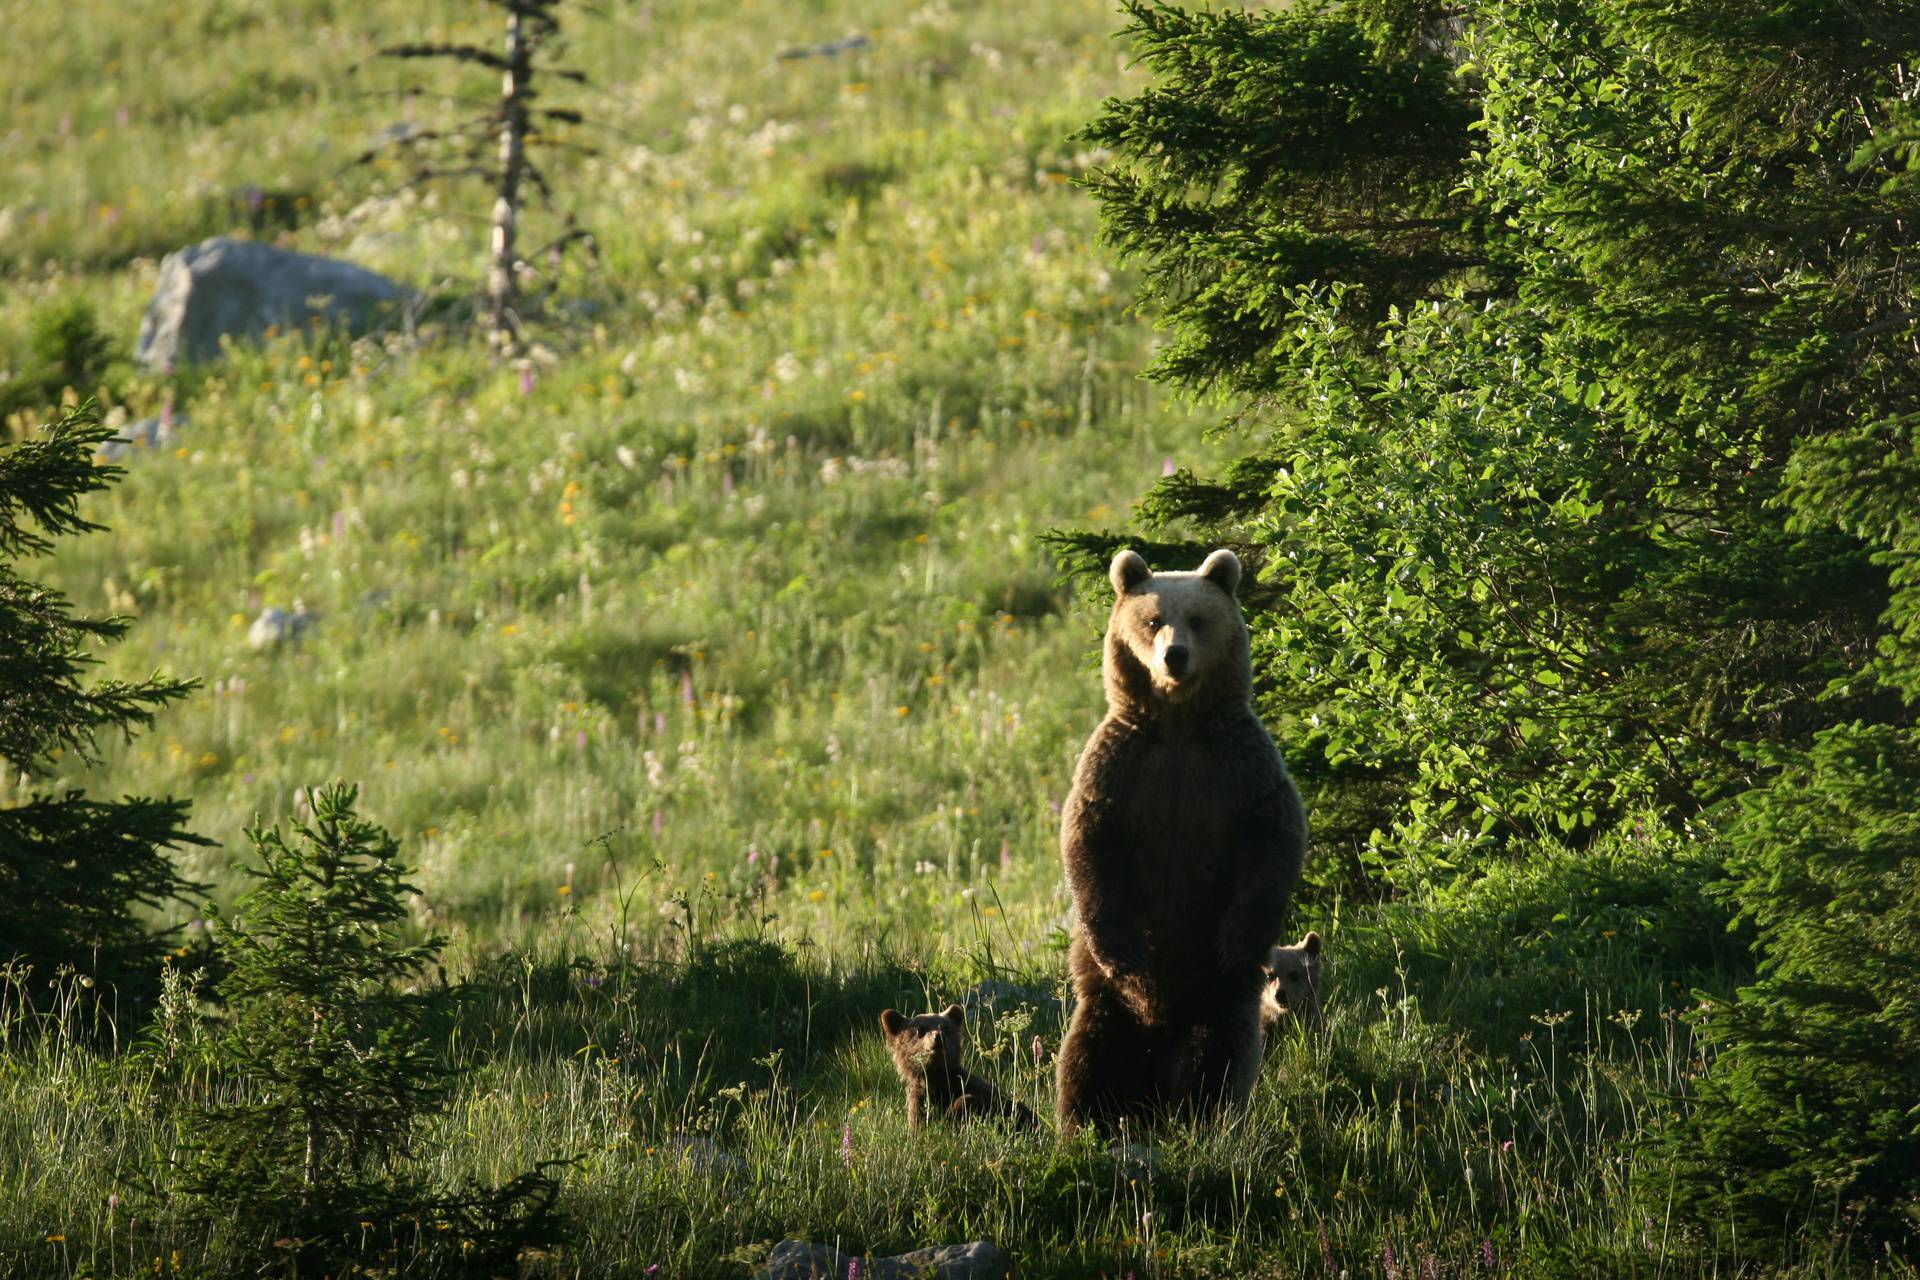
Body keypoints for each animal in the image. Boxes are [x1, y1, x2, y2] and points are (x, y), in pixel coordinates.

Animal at [1052, 545, 1305, 1136]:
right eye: (1152, 620)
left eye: (1197, 617)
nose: (1175, 656)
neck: (1178, 725)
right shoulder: (1118, 765)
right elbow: (1086, 838)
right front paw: (1121, 945)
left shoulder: (1241, 764)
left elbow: (1275, 834)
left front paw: (1239, 936)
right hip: (1105, 998)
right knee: (1087, 1056)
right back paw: (1088, 1121)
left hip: (1215, 994)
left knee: (1216, 1055)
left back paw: (1198, 1118)